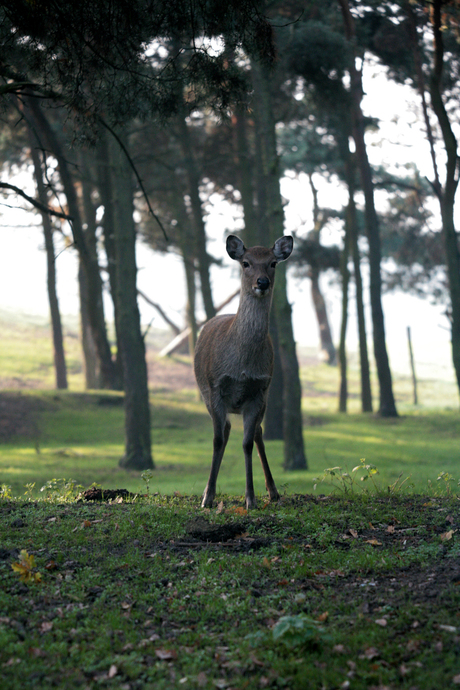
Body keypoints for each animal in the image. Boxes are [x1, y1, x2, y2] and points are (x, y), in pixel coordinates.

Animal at [192, 234, 292, 508]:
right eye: (246, 263)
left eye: (273, 263)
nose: (262, 282)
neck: (242, 366)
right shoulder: (215, 387)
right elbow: (217, 440)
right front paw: (207, 498)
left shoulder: (259, 391)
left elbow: (247, 442)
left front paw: (251, 498)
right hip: (206, 394)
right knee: (225, 431)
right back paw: (208, 490)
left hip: (264, 398)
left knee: (256, 432)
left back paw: (273, 491)